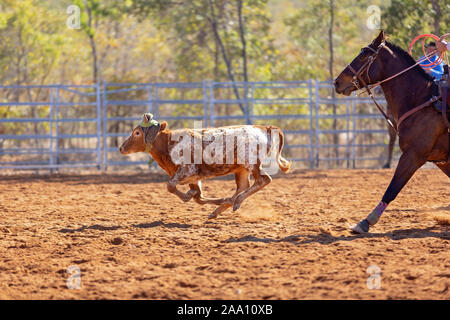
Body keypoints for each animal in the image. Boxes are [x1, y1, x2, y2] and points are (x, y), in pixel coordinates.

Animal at [118, 114, 292, 219]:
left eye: (137, 133)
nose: (121, 147)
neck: (168, 143)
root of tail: (263, 128)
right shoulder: (194, 178)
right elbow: (199, 198)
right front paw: (215, 199)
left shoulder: (187, 170)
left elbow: (171, 186)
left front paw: (188, 195)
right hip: (240, 169)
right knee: (243, 186)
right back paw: (222, 207)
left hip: (251, 163)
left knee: (263, 180)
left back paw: (235, 202)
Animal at [332, 30, 448, 234]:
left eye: (363, 55)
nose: (337, 82)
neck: (423, 99)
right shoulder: (442, 161)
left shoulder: (413, 155)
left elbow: (392, 189)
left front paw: (365, 222)